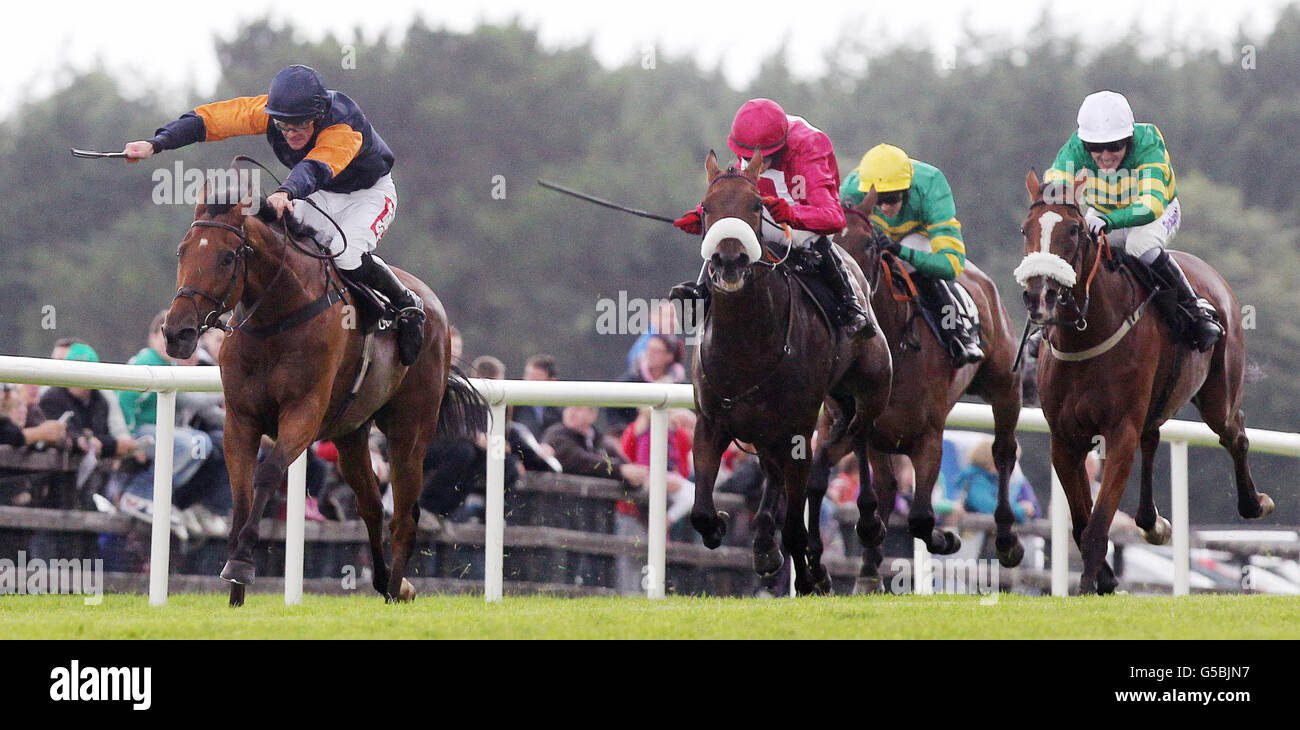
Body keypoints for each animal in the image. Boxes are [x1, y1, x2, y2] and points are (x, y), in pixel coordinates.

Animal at [162, 185, 486, 602]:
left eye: (227, 256)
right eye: (182, 251)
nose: (177, 332)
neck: (277, 318)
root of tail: (432, 304)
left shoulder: (303, 413)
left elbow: (268, 473)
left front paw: (242, 563)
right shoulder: (239, 420)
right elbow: (241, 495)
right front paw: (234, 593)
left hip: (410, 430)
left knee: (403, 516)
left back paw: (397, 587)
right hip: (350, 434)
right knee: (369, 505)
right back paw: (386, 581)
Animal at [691, 150, 894, 594]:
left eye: (756, 205)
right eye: (706, 208)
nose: (728, 260)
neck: (745, 345)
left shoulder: (800, 429)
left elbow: (796, 526)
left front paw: (809, 578)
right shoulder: (711, 423)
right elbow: (701, 513)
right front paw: (723, 525)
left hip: (869, 388)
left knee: (859, 436)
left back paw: (867, 522)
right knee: (775, 474)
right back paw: (766, 545)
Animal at [826, 188, 1029, 592]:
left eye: (869, 244)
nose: (852, 301)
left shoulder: (930, 437)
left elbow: (920, 516)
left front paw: (947, 539)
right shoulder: (866, 425)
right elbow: (874, 493)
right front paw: (870, 550)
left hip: (1005, 387)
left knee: (1002, 452)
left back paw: (1007, 541)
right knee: (888, 487)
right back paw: (869, 567)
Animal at [1013, 168, 1268, 592]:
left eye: (1074, 230)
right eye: (1025, 228)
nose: (1039, 296)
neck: (1087, 333)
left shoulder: (1119, 431)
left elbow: (1097, 525)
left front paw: (1089, 586)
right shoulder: (1064, 439)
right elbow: (1081, 523)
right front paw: (1104, 578)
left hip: (1218, 395)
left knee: (1235, 432)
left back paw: (1254, 501)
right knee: (1153, 437)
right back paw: (1152, 523)